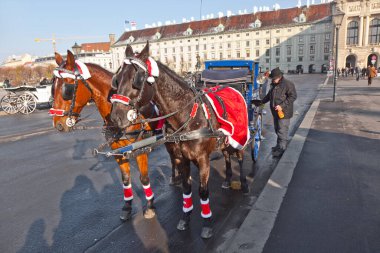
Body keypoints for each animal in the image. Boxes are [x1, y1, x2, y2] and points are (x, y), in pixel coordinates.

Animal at [50, 50, 178, 220]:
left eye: (67, 88)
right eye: (53, 88)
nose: (58, 124)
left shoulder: (140, 150)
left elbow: (144, 178)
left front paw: (150, 205)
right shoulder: (118, 152)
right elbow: (125, 179)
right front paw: (127, 206)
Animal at [111, 42, 251, 238]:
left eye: (136, 79)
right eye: (117, 79)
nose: (116, 117)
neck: (187, 116)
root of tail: (231, 88)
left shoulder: (203, 159)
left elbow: (203, 191)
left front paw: (207, 222)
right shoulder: (181, 158)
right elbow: (186, 189)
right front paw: (185, 218)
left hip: (240, 137)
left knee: (239, 157)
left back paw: (244, 184)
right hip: (224, 140)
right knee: (226, 155)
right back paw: (227, 179)